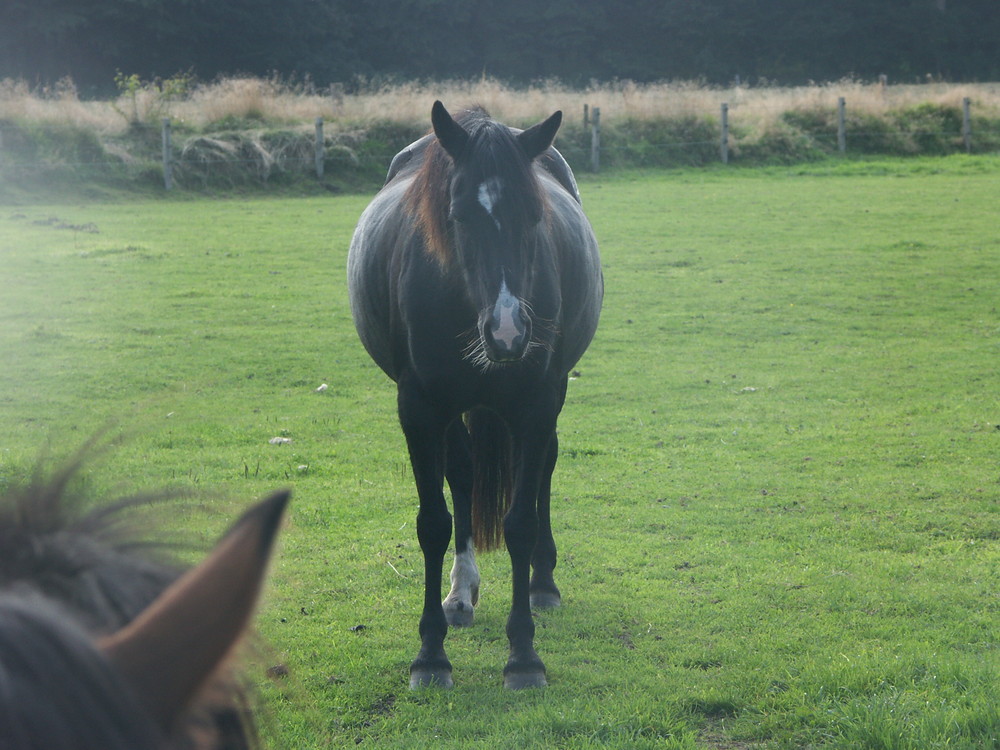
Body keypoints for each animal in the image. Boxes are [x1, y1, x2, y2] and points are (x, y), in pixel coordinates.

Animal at [350, 103, 600, 692]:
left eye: (534, 216)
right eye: (459, 215)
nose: (508, 331)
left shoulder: (536, 403)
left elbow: (520, 523)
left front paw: (524, 656)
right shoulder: (419, 410)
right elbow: (433, 523)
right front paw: (430, 654)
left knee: (544, 469)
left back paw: (543, 582)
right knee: (462, 476)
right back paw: (460, 593)